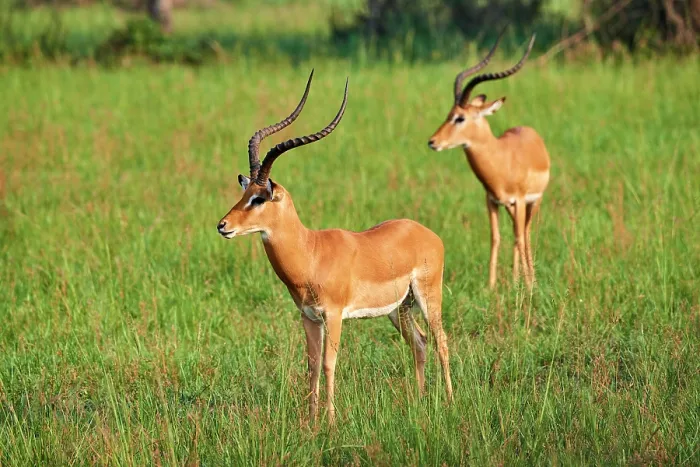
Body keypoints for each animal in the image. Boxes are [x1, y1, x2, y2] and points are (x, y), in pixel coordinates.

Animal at [217, 71, 453, 425]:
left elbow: (329, 364)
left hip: (427, 296)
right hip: (399, 308)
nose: (223, 225)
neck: (310, 253)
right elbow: (312, 366)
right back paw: (421, 401)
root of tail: (427, 233)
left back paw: (450, 402)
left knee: (441, 341)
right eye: (244, 194)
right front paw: (311, 422)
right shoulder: (309, 317)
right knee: (420, 343)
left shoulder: (334, 314)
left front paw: (329, 421)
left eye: (259, 198)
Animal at [428, 33, 550, 289]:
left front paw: (530, 286)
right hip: (510, 207)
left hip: (534, 201)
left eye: (460, 118)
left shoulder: (520, 200)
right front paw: (492, 286)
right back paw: (515, 279)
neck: (501, 160)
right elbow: (496, 237)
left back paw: (528, 279)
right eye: (448, 114)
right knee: (515, 233)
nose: (433, 142)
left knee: (525, 233)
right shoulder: (492, 200)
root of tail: (530, 131)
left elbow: (519, 237)